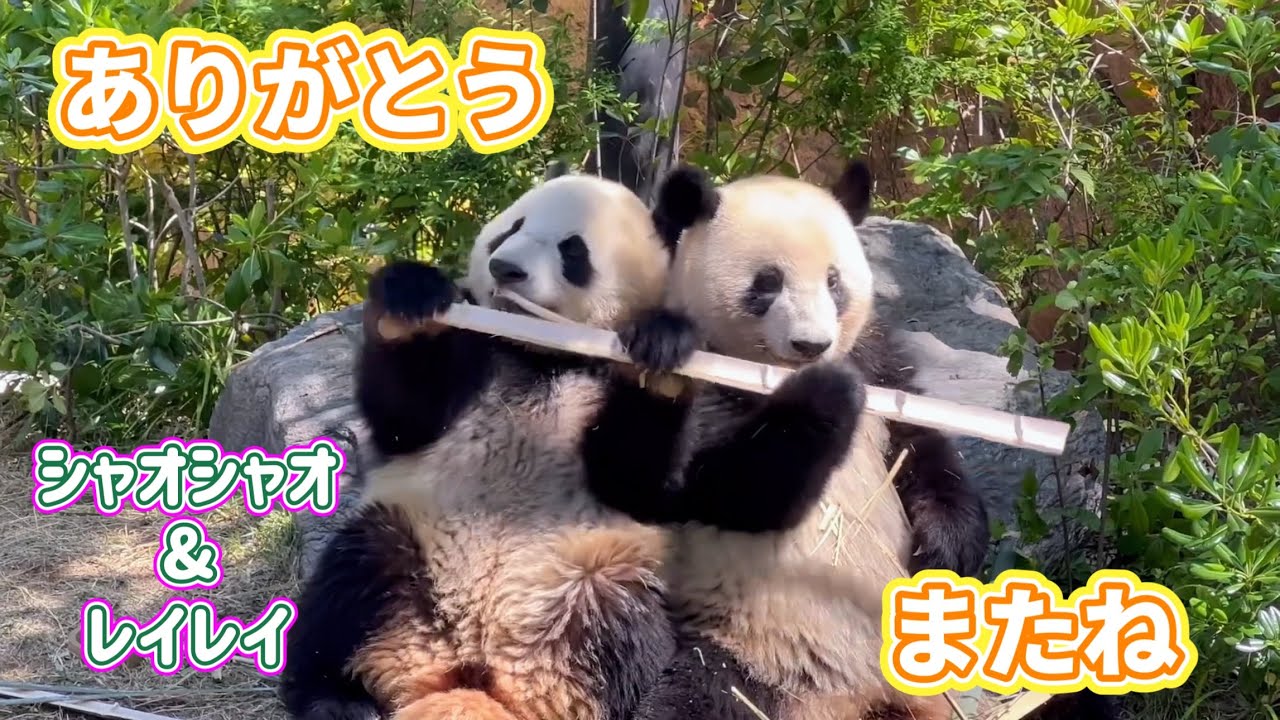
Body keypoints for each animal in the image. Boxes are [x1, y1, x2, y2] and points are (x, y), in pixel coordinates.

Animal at [277, 166, 876, 720]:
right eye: (510, 228)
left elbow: (649, 483)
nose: (505, 268)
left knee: (623, 636)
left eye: (573, 250)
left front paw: (661, 350)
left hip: (595, 579)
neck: (543, 355)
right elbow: (407, 418)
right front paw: (411, 295)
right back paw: (338, 700)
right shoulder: (480, 349)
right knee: (349, 588)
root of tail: (471, 667)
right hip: (412, 540)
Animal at [582, 159, 990, 720]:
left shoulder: (877, 359)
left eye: (834, 282)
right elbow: (699, 486)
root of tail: (854, 701)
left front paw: (946, 551)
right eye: (767, 282)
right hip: (755, 655)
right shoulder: (712, 385)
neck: (771, 374)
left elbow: (917, 446)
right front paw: (824, 395)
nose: (811, 346)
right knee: (699, 695)